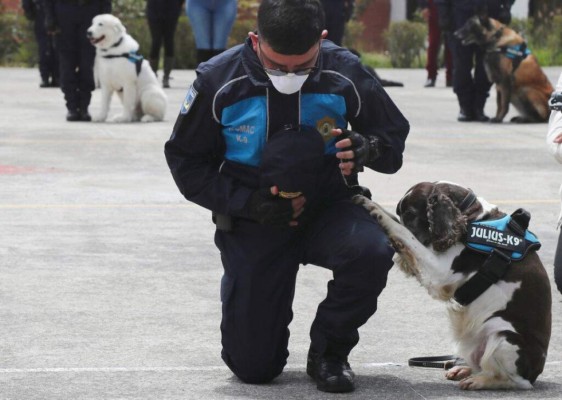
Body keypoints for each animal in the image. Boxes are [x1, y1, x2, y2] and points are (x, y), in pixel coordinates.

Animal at [352, 182, 548, 390]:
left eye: (411, 213)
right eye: (401, 212)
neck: (471, 218)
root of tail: (534, 373)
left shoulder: (440, 274)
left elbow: (403, 232)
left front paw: (372, 207)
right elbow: (398, 226)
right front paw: (370, 202)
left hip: (503, 336)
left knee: (509, 379)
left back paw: (478, 381)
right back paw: (463, 369)